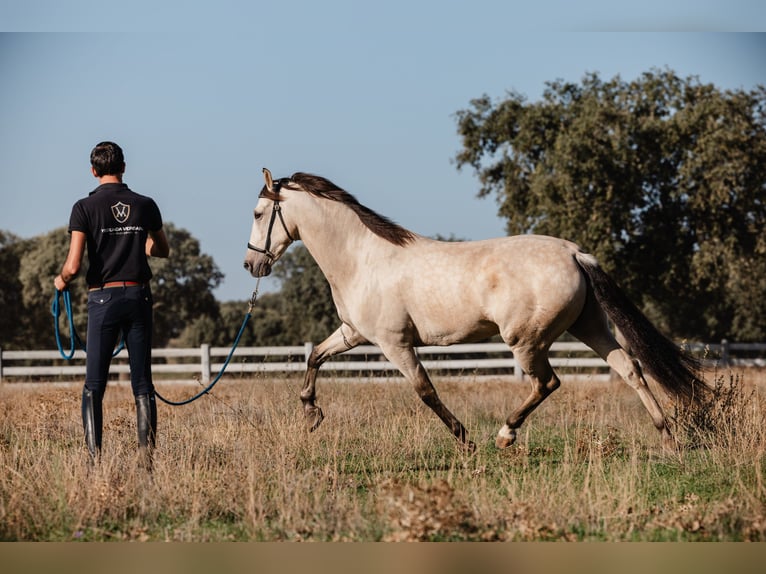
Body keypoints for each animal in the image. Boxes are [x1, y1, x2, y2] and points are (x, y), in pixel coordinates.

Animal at [244, 169, 708, 452]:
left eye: (258, 212)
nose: (251, 265)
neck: (362, 258)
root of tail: (574, 252)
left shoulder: (395, 344)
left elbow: (426, 392)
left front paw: (464, 440)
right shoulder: (353, 333)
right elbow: (315, 358)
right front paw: (311, 415)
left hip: (526, 341)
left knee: (548, 382)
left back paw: (504, 435)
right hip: (589, 326)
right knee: (631, 369)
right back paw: (668, 438)